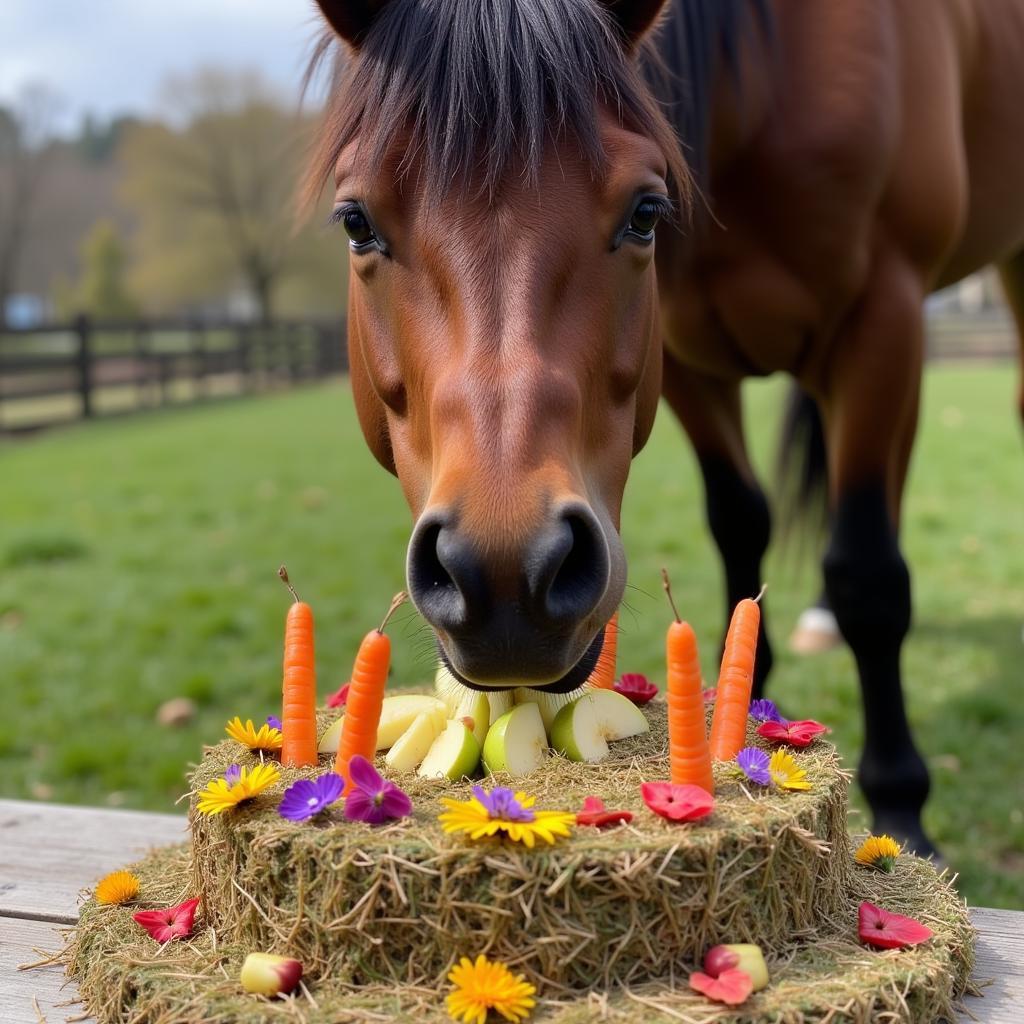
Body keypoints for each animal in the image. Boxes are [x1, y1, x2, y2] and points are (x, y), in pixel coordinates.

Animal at [307, 0, 1024, 856]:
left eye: (645, 212)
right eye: (355, 222)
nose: (508, 575)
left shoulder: (881, 316)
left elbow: (870, 576)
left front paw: (903, 809)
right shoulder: (683, 359)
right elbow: (741, 521)